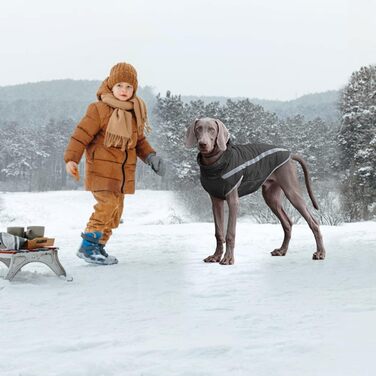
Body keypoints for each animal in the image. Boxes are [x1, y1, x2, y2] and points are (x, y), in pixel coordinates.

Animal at [186, 117, 326, 264]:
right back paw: (282, 250)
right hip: (271, 197)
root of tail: (290, 154)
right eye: (198, 129)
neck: (215, 163)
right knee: (287, 223)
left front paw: (228, 258)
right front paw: (216, 256)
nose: (203, 144)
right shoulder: (216, 201)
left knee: (313, 222)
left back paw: (320, 253)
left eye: (212, 130)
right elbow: (219, 233)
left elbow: (230, 233)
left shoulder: (233, 200)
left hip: (292, 192)